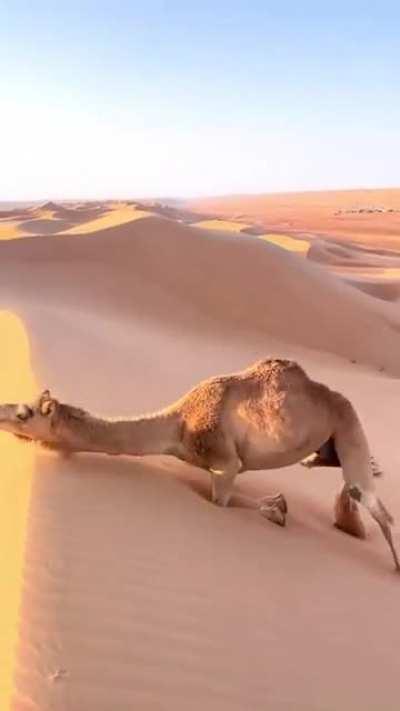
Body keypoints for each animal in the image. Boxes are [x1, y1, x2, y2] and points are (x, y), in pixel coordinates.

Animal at [0, 358, 398, 572]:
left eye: (23, 414)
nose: (1, 413)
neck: (178, 425)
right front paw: (278, 506)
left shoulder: (225, 463)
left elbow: (225, 502)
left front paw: (277, 509)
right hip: (330, 438)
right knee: (334, 472)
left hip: (348, 423)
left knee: (374, 503)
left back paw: (392, 564)